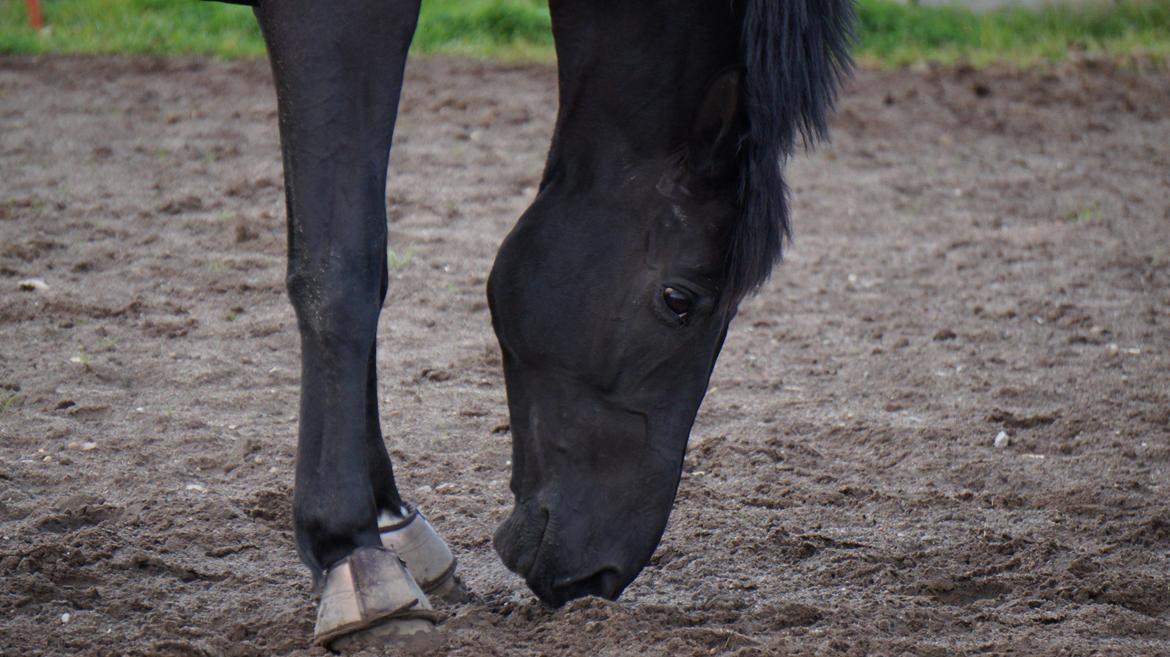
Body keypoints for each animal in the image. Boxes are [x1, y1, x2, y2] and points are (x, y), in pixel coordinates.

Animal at [208, 0, 851, 645]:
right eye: (678, 300)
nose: (602, 574)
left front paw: (392, 521)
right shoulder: (335, 20)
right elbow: (342, 271)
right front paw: (354, 555)